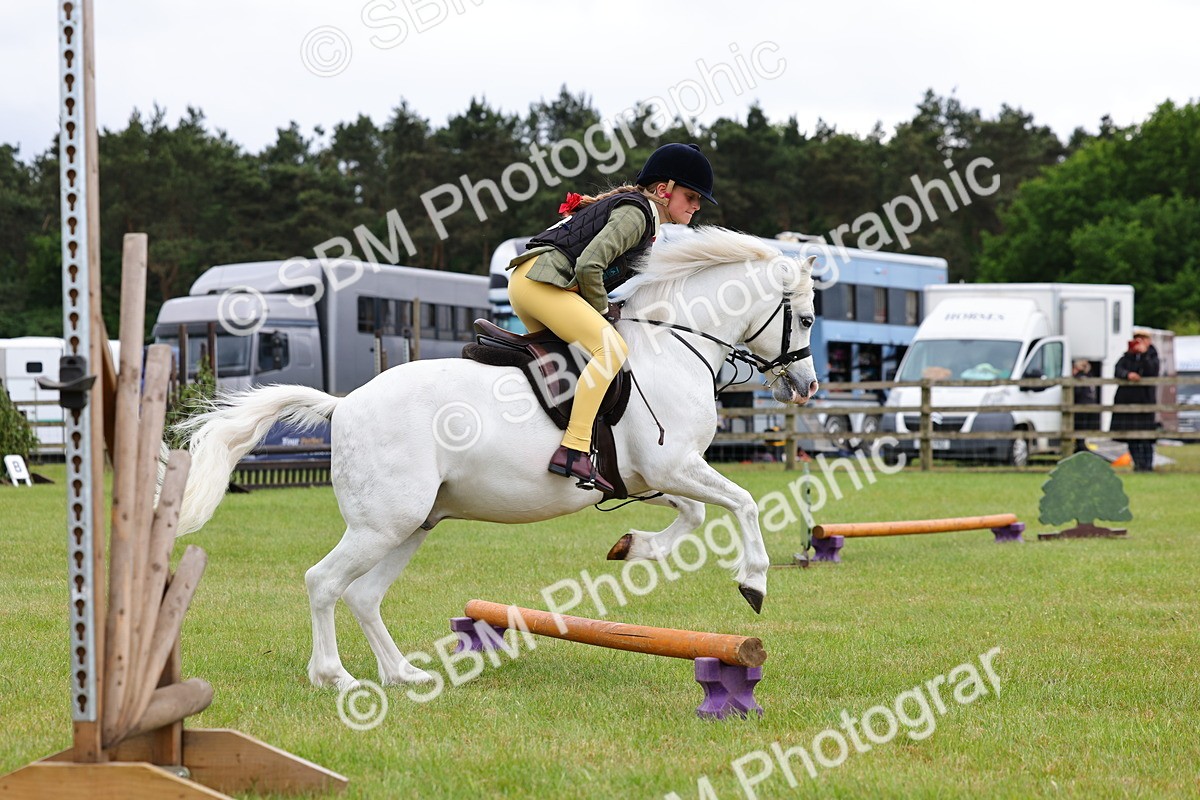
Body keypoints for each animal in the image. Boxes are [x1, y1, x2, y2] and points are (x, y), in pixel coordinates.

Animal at [173, 226, 819, 690]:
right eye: (808, 317)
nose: (806, 386)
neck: (674, 347)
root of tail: (345, 403)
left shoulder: (648, 477)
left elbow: (695, 514)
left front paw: (632, 546)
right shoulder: (673, 466)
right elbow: (744, 503)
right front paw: (753, 583)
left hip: (410, 524)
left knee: (362, 594)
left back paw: (403, 673)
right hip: (383, 523)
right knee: (324, 582)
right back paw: (335, 677)